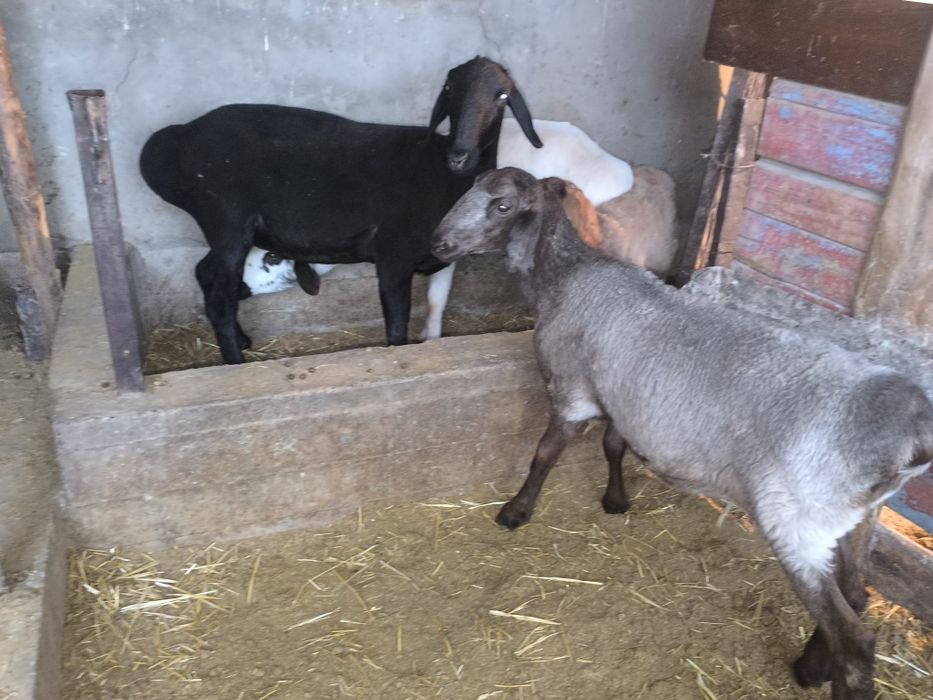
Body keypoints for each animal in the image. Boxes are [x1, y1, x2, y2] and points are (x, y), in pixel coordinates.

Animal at [139, 56, 542, 363]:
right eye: (449, 91)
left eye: (502, 95)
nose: (460, 155)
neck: (440, 173)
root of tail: (175, 138)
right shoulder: (392, 256)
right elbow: (396, 327)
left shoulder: (442, 259)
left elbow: (436, 307)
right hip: (226, 219)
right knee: (220, 297)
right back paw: (235, 362)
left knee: (207, 274)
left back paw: (241, 342)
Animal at [430, 167, 933, 700]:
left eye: (502, 206)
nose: (437, 243)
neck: (566, 273)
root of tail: (912, 434)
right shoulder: (623, 392)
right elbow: (613, 445)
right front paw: (615, 500)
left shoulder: (570, 388)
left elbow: (544, 454)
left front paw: (516, 510)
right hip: (857, 519)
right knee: (856, 594)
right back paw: (811, 668)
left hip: (798, 523)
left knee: (854, 640)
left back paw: (824, 670)